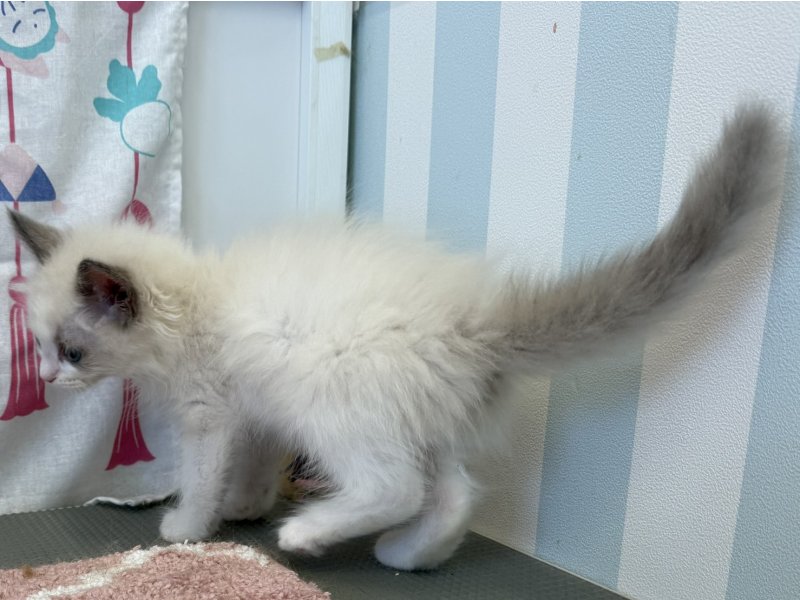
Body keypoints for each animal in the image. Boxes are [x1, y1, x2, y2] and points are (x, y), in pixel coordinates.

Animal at [6, 105, 784, 570]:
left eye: (71, 350)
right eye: (42, 347)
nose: (47, 379)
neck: (198, 305)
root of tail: (476, 322)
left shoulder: (213, 415)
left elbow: (200, 477)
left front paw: (190, 526)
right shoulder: (253, 413)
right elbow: (249, 466)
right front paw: (246, 504)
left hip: (333, 405)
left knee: (395, 485)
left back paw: (311, 532)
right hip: (413, 421)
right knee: (452, 494)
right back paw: (410, 555)